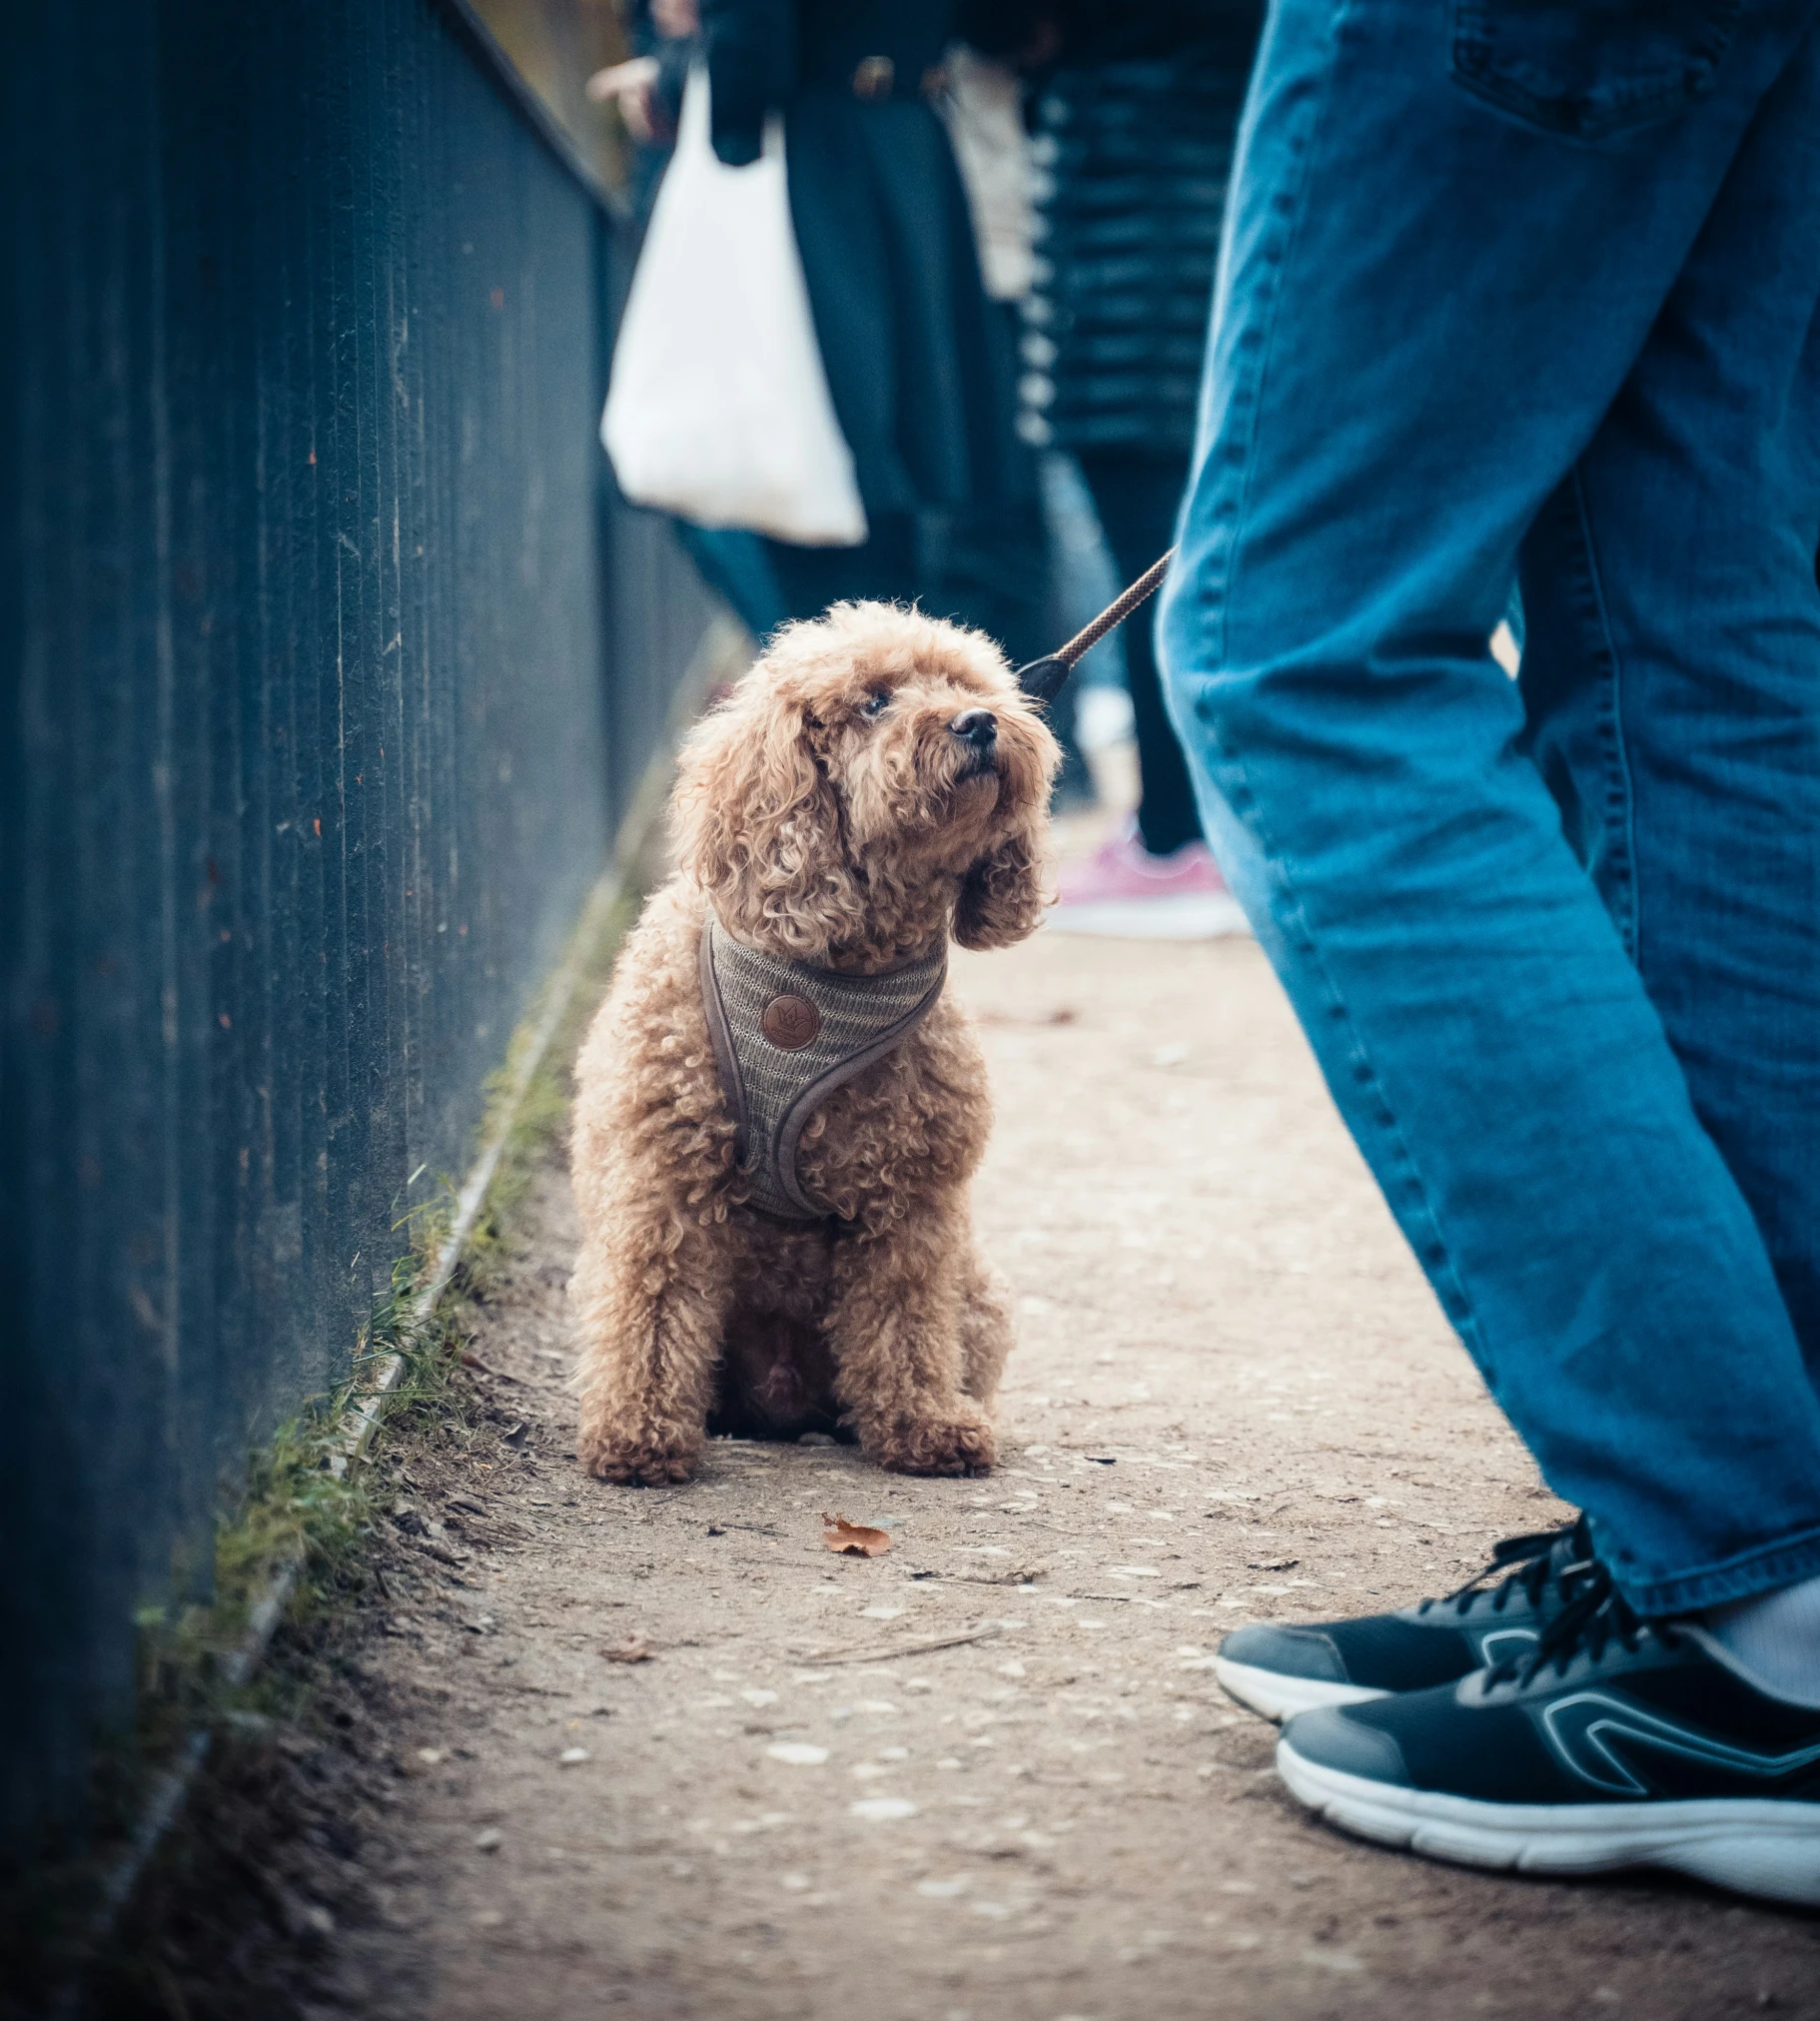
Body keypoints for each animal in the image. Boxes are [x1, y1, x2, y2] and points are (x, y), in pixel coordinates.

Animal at [565, 597, 1050, 1487]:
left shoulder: (911, 1204)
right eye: (875, 701)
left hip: (975, 1288)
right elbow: (653, 1306)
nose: (977, 722)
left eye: (966, 684)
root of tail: (786, 1397)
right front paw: (637, 1433)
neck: (831, 970)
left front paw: (923, 1422)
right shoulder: (663, 1180)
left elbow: (904, 1315)